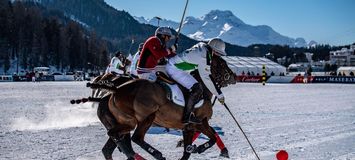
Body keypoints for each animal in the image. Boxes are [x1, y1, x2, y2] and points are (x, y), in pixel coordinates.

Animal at [88, 54, 236, 159]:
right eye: (222, 64)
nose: (234, 77)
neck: (204, 88)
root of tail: (116, 89)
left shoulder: (188, 127)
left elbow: (187, 152)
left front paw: (189, 147)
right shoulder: (201, 122)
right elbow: (213, 137)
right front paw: (199, 148)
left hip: (126, 123)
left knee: (110, 145)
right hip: (146, 117)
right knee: (136, 138)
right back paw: (156, 155)